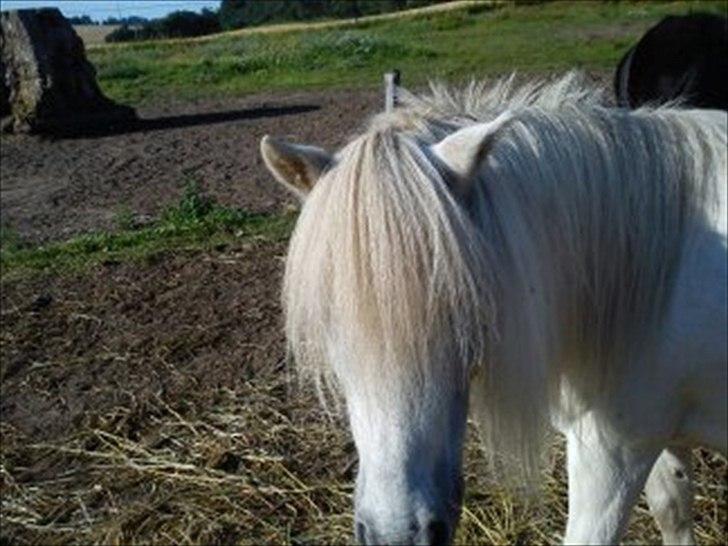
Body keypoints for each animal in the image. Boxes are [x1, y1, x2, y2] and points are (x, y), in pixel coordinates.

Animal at [260, 73, 727, 545]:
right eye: (328, 319)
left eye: (461, 308)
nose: (399, 536)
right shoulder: (656, 436)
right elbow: (673, 507)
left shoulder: (613, 454)